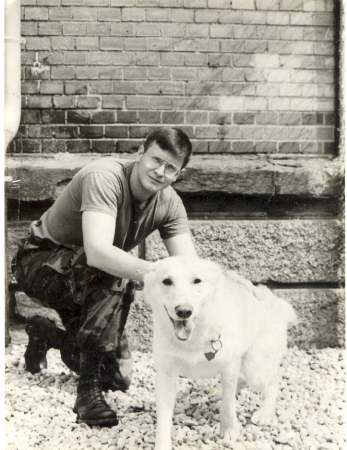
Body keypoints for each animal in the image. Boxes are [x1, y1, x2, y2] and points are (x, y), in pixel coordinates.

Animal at [143, 255, 298, 448]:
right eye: (167, 281)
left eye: (197, 280)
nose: (184, 311)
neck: (196, 336)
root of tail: (275, 301)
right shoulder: (166, 375)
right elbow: (163, 419)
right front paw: (162, 445)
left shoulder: (229, 367)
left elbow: (229, 406)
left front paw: (229, 430)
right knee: (241, 382)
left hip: (256, 367)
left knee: (272, 381)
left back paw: (264, 412)